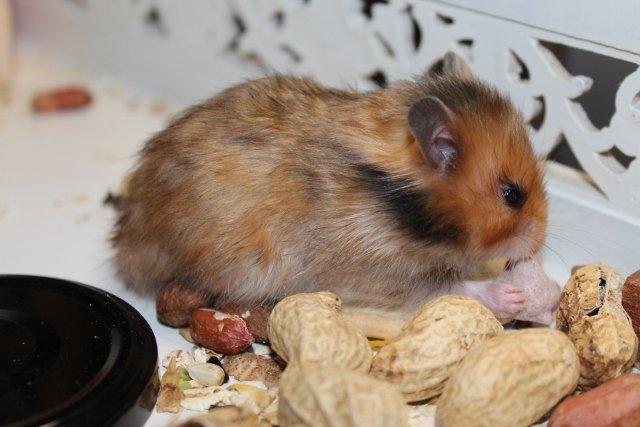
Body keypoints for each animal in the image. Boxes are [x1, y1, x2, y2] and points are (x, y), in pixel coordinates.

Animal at [113, 53, 547, 317]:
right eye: (512, 195)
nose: (539, 244)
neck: (401, 208)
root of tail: (126, 246)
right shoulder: (383, 271)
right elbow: (454, 284)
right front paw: (512, 296)